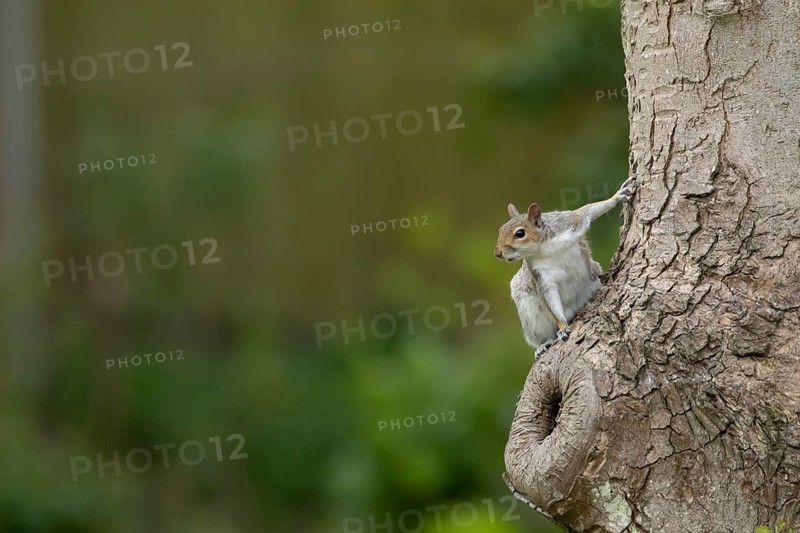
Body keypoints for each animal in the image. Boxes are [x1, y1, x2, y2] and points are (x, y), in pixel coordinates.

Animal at [493, 177, 635, 357]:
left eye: (520, 233)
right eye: (500, 230)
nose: (497, 253)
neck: (544, 247)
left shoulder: (570, 222)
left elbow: (587, 211)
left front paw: (616, 197)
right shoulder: (540, 275)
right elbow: (550, 300)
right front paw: (563, 327)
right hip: (530, 314)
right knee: (545, 334)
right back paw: (544, 344)